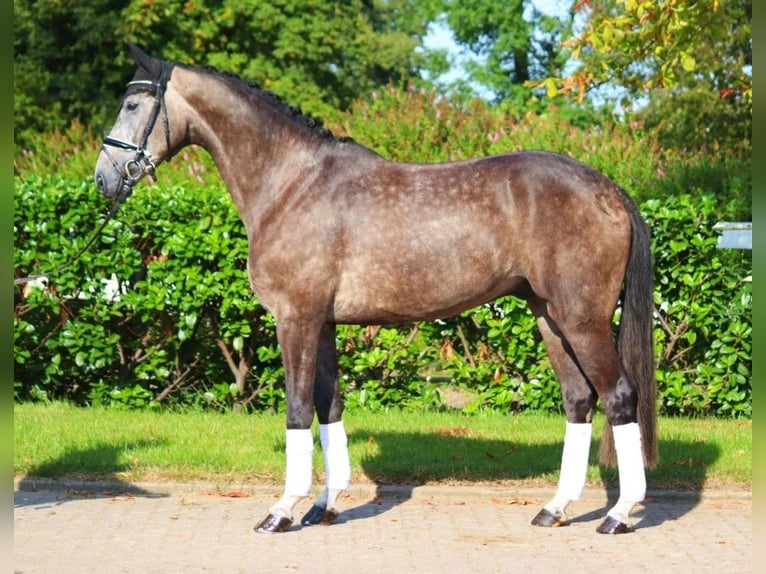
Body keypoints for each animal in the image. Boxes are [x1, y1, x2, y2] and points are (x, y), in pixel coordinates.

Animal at [96, 42, 660, 536]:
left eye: (131, 103)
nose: (104, 179)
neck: (291, 184)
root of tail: (607, 188)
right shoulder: (322, 323)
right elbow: (329, 406)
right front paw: (323, 506)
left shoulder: (295, 318)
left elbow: (298, 409)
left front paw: (281, 511)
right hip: (549, 317)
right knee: (579, 400)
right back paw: (555, 509)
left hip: (582, 318)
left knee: (619, 396)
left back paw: (619, 514)